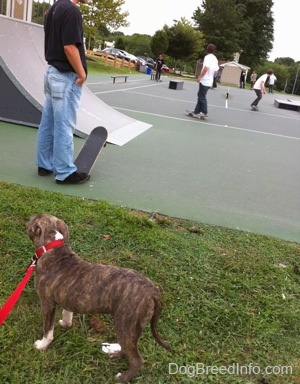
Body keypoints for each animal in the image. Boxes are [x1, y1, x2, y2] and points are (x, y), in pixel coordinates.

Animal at [26, 213, 171, 380]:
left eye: (31, 220)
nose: (28, 219)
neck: (52, 246)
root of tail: (152, 290)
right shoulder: (67, 297)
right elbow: (67, 313)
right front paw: (65, 323)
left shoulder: (47, 304)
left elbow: (48, 330)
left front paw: (42, 345)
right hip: (133, 328)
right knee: (127, 349)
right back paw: (114, 354)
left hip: (126, 325)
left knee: (136, 359)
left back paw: (122, 377)